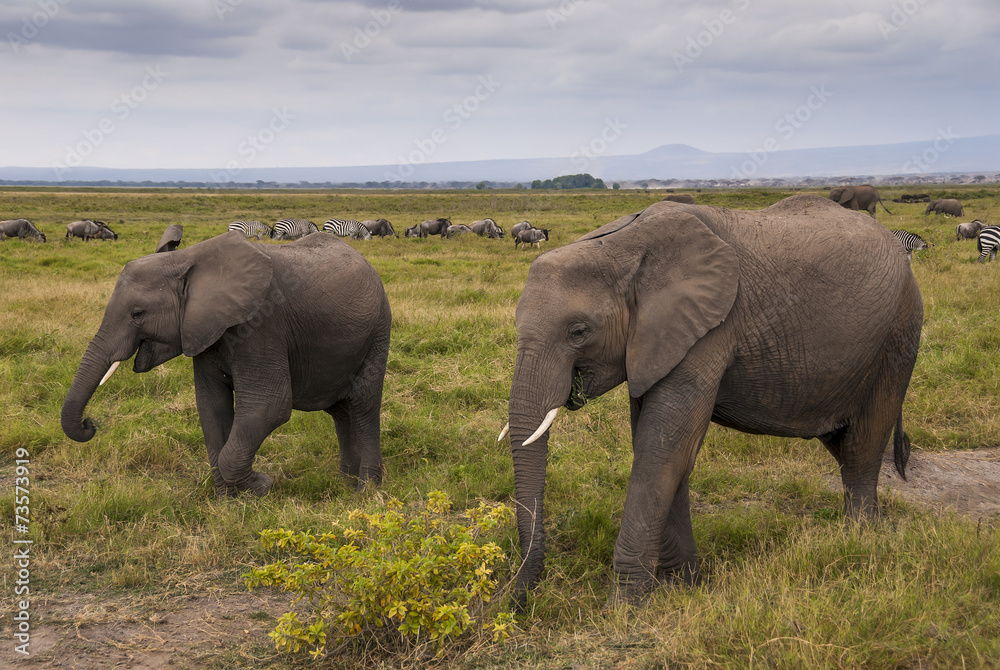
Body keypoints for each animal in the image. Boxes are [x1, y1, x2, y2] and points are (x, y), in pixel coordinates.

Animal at [61, 231, 392, 497]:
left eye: (138, 313)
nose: (90, 424)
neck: (186, 259)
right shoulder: (204, 329)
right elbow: (211, 406)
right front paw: (228, 499)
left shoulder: (261, 325)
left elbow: (269, 406)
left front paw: (258, 486)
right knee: (341, 412)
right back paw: (344, 482)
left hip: (378, 331)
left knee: (363, 406)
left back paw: (365, 492)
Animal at [500, 194, 922, 606]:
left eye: (578, 331)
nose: (517, 603)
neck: (620, 246)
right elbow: (664, 449)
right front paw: (683, 587)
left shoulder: (709, 329)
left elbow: (662, 451)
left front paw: (624, 609)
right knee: (841, 442)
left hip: (899, 333)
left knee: (863, 446)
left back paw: (860, 541)